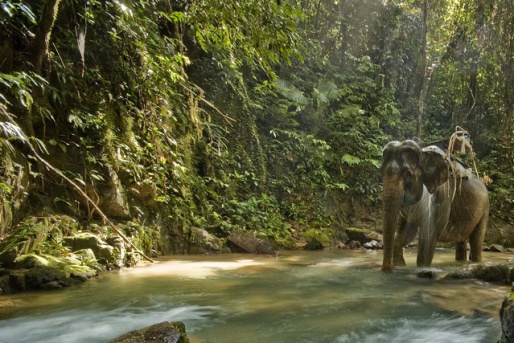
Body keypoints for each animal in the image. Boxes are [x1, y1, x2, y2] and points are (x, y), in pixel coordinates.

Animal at [378, 139, 486, 272]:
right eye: (381, 172)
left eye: (407, 174)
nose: (388, 269)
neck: (424, 151)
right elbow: (404, 231)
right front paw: (400, 266)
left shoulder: (441, 195)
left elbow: (428, 235)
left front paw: (422, 269)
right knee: (461, 240)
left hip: (485, 210)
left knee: (477, 241)